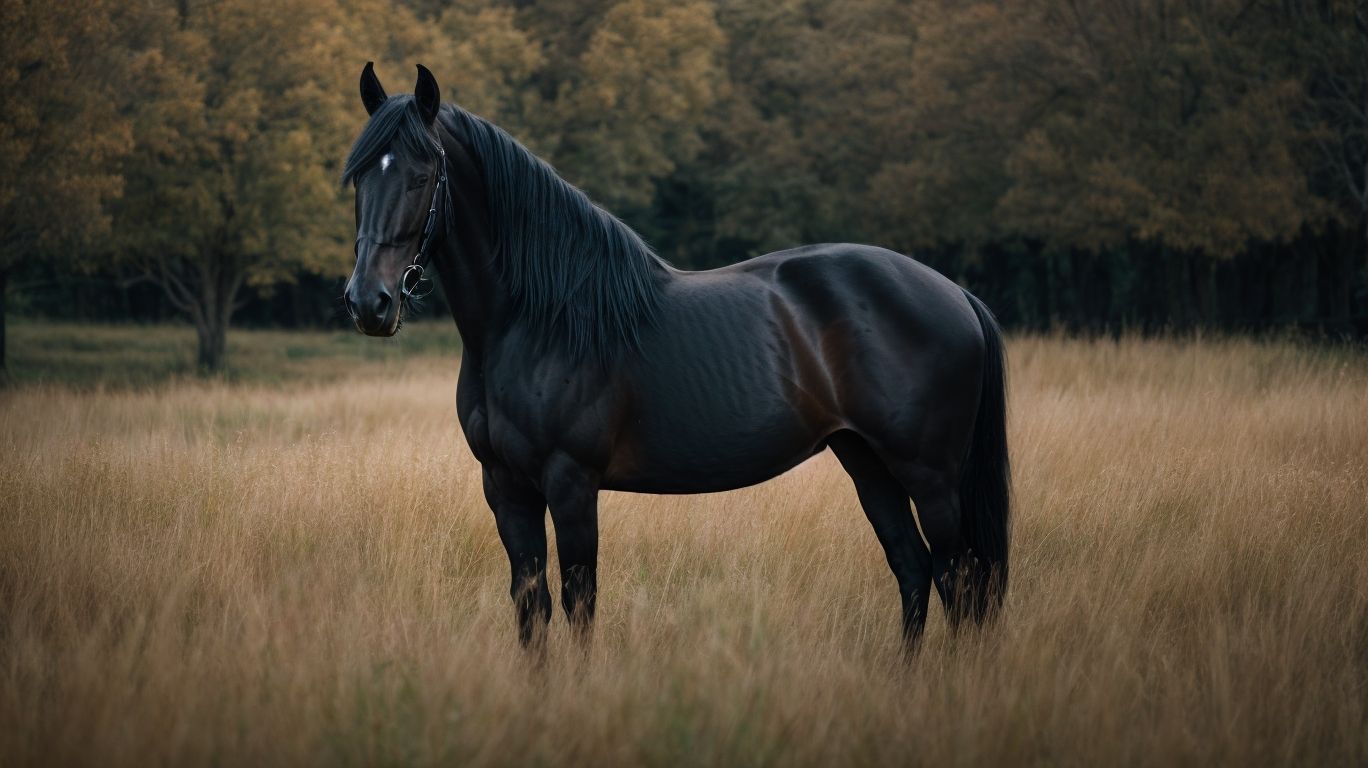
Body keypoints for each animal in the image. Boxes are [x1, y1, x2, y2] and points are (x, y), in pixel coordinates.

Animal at [341, 63, 1010, 652]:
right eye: (359, 178)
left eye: (421, 175)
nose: (369, 302)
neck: (538, 320)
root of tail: (955, 293)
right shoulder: (505, 486)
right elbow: (532, 609)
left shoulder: (571, 481)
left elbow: (580, 603)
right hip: (867, 463)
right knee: (914, 571)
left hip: (930, 475)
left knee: (958, 580)